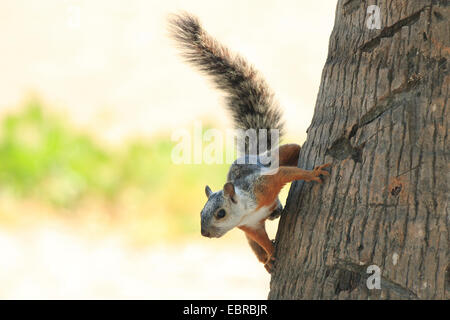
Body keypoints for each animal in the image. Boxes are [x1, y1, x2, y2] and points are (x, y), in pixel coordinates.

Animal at [169, 12, 330, 272]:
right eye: (201, 213)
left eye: (220, 213)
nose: (204, 233)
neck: (246, 210)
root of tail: (250, 154)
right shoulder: (249, 226)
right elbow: (260, 239)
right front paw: (271, 254)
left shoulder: (264, 184)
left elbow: (286, 173)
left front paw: (313, 173)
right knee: (255, 245)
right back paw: (265, 260)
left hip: (272, 159)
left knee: (291, 151)